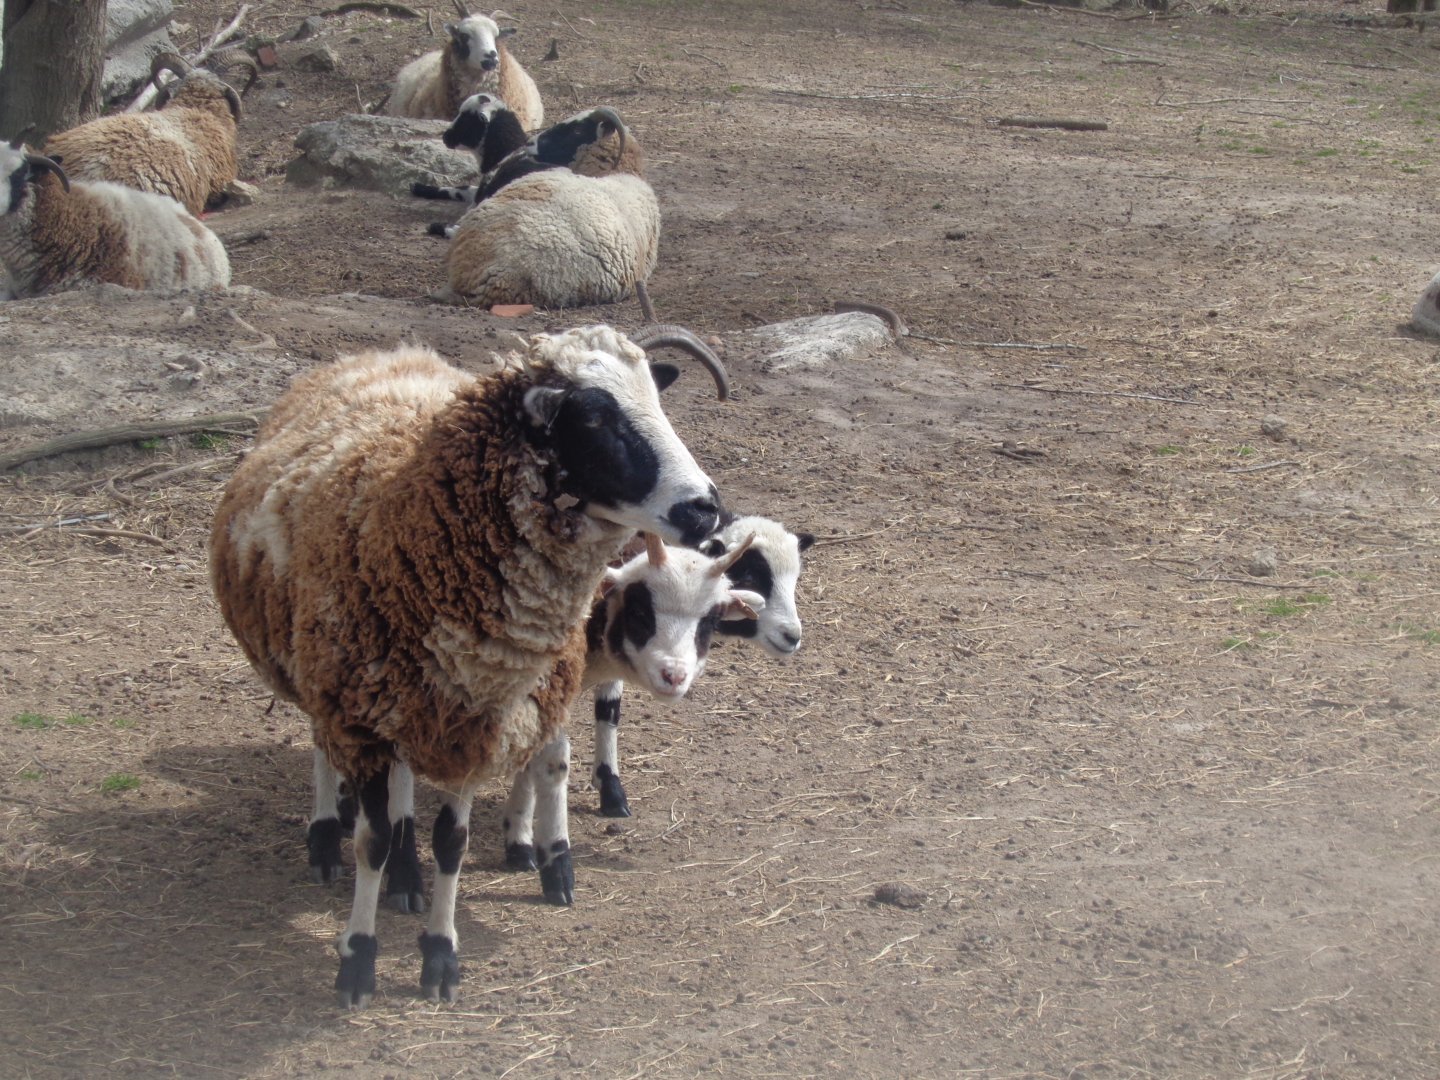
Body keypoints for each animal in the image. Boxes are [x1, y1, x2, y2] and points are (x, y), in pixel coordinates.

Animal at [210, 325, 729, 1006]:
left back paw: (407, 877)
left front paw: (439, 956)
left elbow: (450, 843)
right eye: (594, 417)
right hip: (325, 671)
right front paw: (357, 962)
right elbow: (371, 843)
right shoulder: (362, 711)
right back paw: (327, 837)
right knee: (326, 751)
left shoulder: (472, 721)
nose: (705, 508)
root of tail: (380, 353)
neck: (408, 537)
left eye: (656, 398)